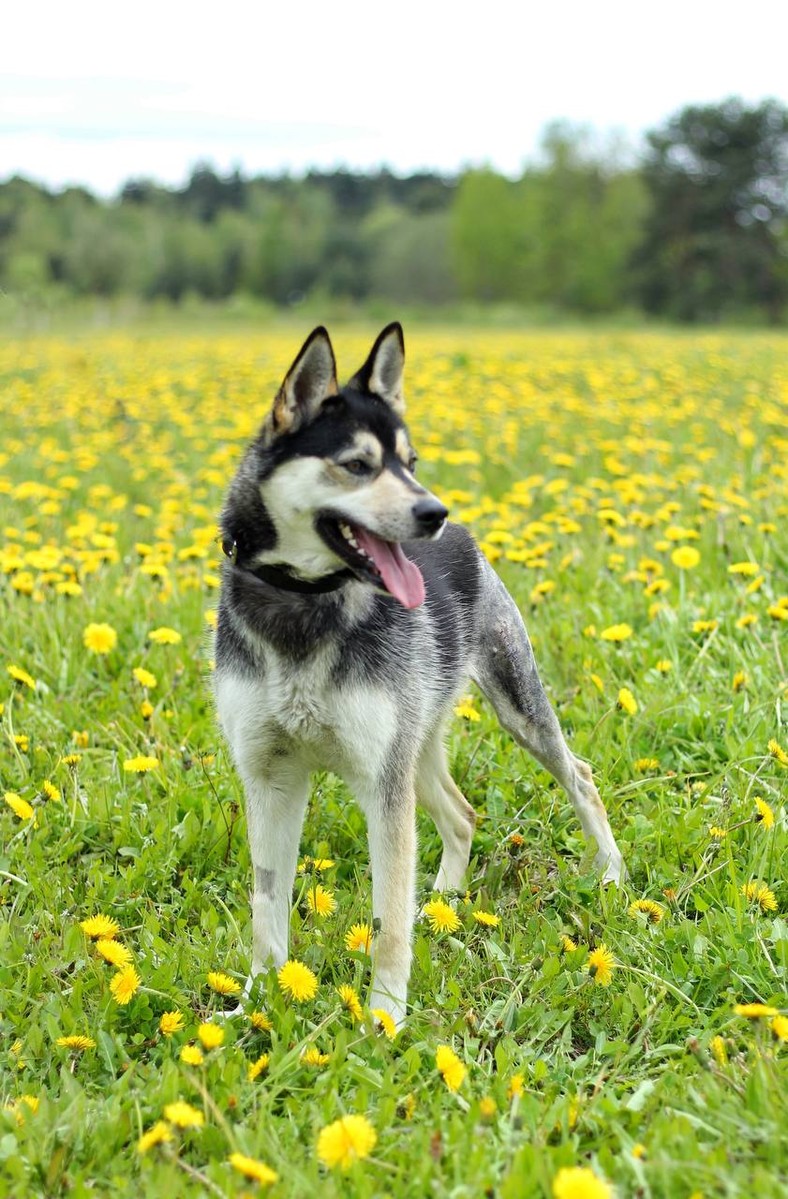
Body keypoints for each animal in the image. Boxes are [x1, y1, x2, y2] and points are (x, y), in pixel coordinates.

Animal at [212, 323, 623, 1026]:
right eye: (357, 464)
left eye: (411, 461)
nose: (434, 511)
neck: (304, 605)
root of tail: (467, 537)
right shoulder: (270, 777)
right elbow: (267, 911)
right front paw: (258, 1006)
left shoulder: (382, 784)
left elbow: (387, 922)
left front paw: (383, 1020)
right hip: (415, 747)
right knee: (461, 816)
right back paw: (445, 905)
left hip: (509, 711)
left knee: (581, 777)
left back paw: (613, 875)